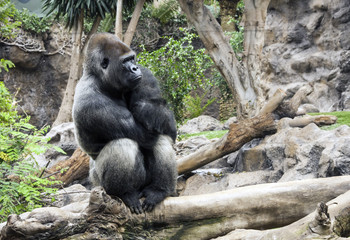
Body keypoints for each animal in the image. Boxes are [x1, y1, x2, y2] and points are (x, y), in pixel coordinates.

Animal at [73, 32, 178, 214]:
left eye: (132, 59)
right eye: (124, 62)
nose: (135, 68)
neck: (101, 79)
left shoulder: (145, 76)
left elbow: (167, 127)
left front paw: (148, 108)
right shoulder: (92, 104)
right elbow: (144, 135)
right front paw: (147, 109)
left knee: (161, 138)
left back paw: (159, 190)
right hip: (99, 183)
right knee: (125, 144)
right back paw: (124, 193)